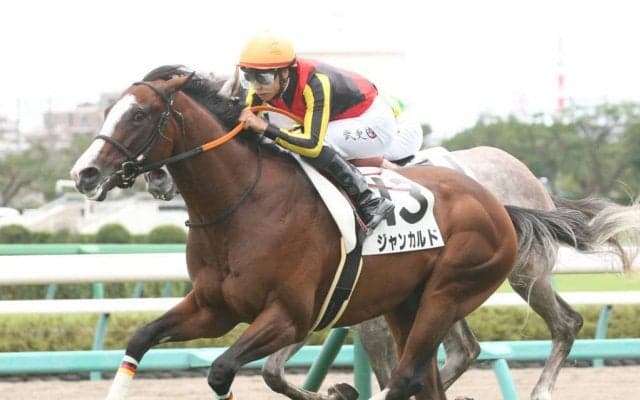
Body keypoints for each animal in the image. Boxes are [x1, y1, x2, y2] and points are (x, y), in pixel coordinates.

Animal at [71, 75, 599, 400]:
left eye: (138, 116)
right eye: (108, 110)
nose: (85, 173)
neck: (243, 204)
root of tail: (499, 203)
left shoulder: (294, 314)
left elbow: (229, 369)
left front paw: (338, 389)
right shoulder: (215, 308)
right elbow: (143, 338)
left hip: (474, 285)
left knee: (552, 326)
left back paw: (541, 387)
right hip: (410, 303)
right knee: (436, 368)